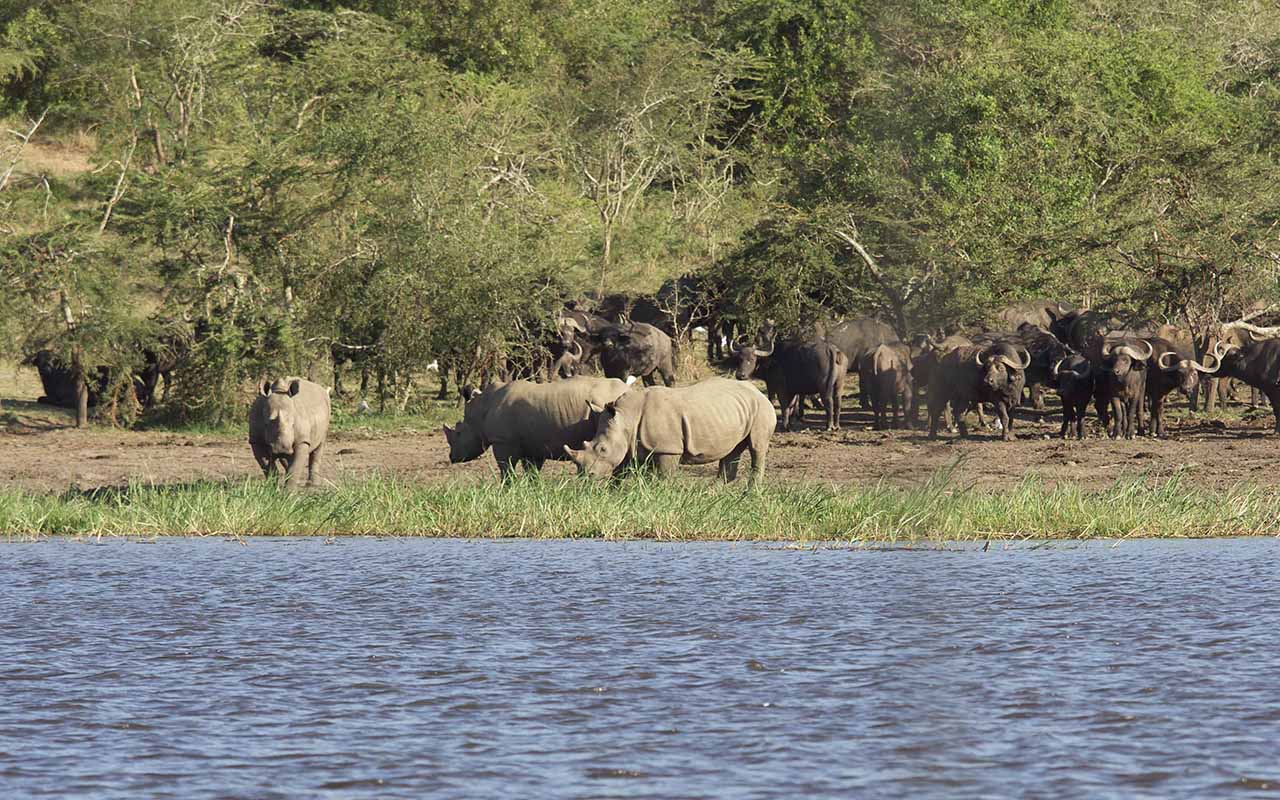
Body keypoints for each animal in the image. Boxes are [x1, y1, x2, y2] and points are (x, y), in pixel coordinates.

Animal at [443, 376, 631, 478]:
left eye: (458, 433)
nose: (452, 457)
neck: (480, 410)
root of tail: (626, 388)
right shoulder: (533, 444)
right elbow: (531, 472)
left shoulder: (503, 441)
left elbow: (506, 469)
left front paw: (507, 490)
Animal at [564, 377, 775, 483]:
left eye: (602, 449)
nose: (586, 476)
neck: (627, 416)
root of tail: (758, 392)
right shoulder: (633, 444)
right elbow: (621, 473)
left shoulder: (668, 448)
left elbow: (664, 477)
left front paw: (662, 495)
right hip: (735, 410)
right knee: (732, 452)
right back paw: (713, 495)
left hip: (761, 409)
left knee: (757, 448)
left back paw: (750, 495)